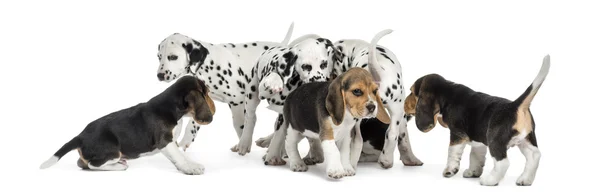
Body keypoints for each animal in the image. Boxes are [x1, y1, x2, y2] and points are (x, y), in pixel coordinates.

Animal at [38, 76, 216, 175]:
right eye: (206, 93)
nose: (215, 108)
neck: (172, 107)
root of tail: (80, 136)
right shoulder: (165, 142)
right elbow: (179, 156)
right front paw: (190, 169)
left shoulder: (172, 143)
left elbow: (182, 156)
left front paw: (190, 165)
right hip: (113, 150)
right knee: (92, 164)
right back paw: (119, 166)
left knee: (82, 163)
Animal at [156, 23, 294, 155]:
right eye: (159, 57)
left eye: (173, 57)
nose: (160, 75)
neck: (208, 64)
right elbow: (194, 122)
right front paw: (185, 141)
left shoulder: (237, 102)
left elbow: (240, 125)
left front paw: (242, 144)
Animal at [406, 54, 552, 185]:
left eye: (412, 92)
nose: (404, 104)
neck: (448, 92)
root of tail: (515, 105)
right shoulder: (478, 142)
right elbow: (475, 157)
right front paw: (473, 172)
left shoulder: (457, 135)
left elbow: (452, 153)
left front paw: (449, 171)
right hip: (526, 140)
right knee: (534, 155)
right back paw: (525, 180)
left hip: (495, 141)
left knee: (503, 163)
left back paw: (490, 180)